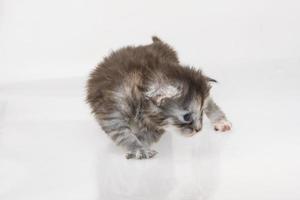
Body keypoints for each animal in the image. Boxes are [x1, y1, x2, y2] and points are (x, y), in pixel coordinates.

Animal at [86, 36, 232, 159]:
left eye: (200, 113)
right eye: (187, 117)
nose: (198, 129)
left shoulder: (156, 125)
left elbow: (147, 135)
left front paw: (141, 145)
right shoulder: (113, 112)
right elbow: (123, 134)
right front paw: (138, 148)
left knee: (209, 102)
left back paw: (221, 121)